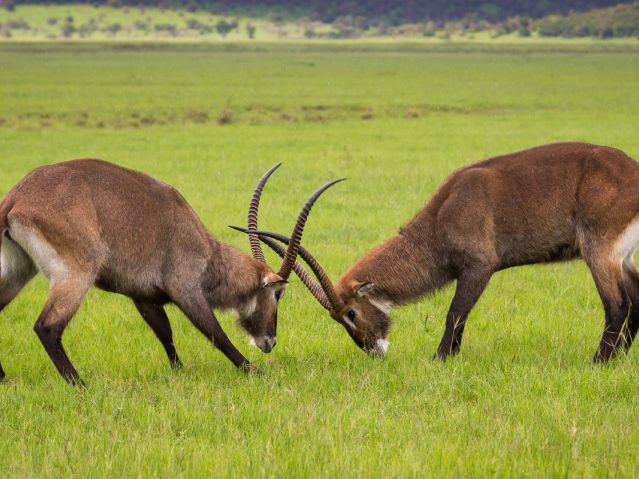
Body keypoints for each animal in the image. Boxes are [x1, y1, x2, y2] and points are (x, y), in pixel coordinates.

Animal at [0, 159, 342, 384]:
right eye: (279, 294)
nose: (270, 342)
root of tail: (16, 197)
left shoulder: (144, 297)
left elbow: (165, 332)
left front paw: (179, 372)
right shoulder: (187, 290)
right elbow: (215, 333)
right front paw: (253, 371)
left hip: (18, 272)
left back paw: (5, 379)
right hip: (75, 275)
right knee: (47, 327)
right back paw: (80, 385)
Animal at [238, 142, 639, 364]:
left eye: (350, 313)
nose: (371, 350)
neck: (442, 214)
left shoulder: (479, 267)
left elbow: (455, 313)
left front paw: (440, 358)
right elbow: (459, 316)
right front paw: (452, 357)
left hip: (598, 250)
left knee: (617, 303)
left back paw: (599, 362)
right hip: (621, 256)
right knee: (634, 298)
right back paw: (620, 358)